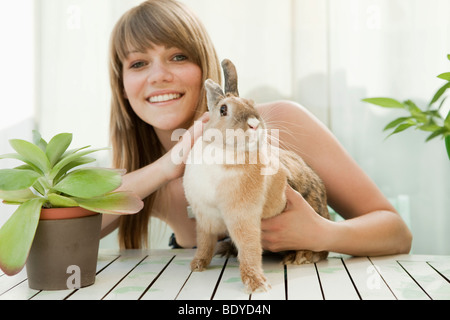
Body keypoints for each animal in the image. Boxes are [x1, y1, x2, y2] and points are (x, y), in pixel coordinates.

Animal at [183, 58, 330, 292]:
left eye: (252, 103)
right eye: (223, 109)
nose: (254, 124)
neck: (225, 150)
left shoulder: (243, 216)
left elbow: (249, 248)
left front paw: (257, 284)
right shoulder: (204, 217)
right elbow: (205, 242)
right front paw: (197, 265)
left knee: (322, 248)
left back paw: (300, 257)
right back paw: (226, 249)